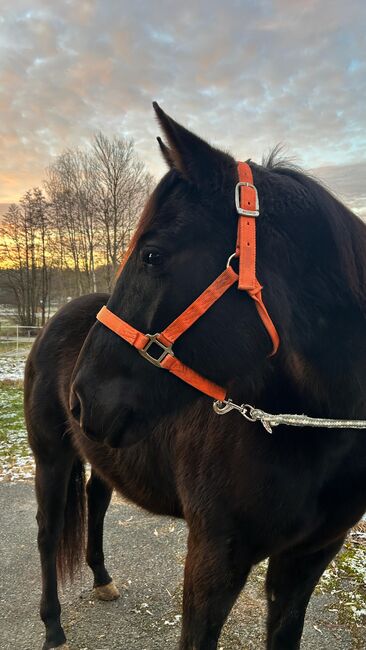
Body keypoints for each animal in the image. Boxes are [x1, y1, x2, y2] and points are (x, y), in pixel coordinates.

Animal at [25, 104, 366, 644]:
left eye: (152, 255)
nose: (82, 399)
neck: (315, 431)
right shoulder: (213, 560)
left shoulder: (307, 561)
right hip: (52, 458)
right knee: (47, 533)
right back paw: (54, 627)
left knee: (97, 502)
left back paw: (101, 579)